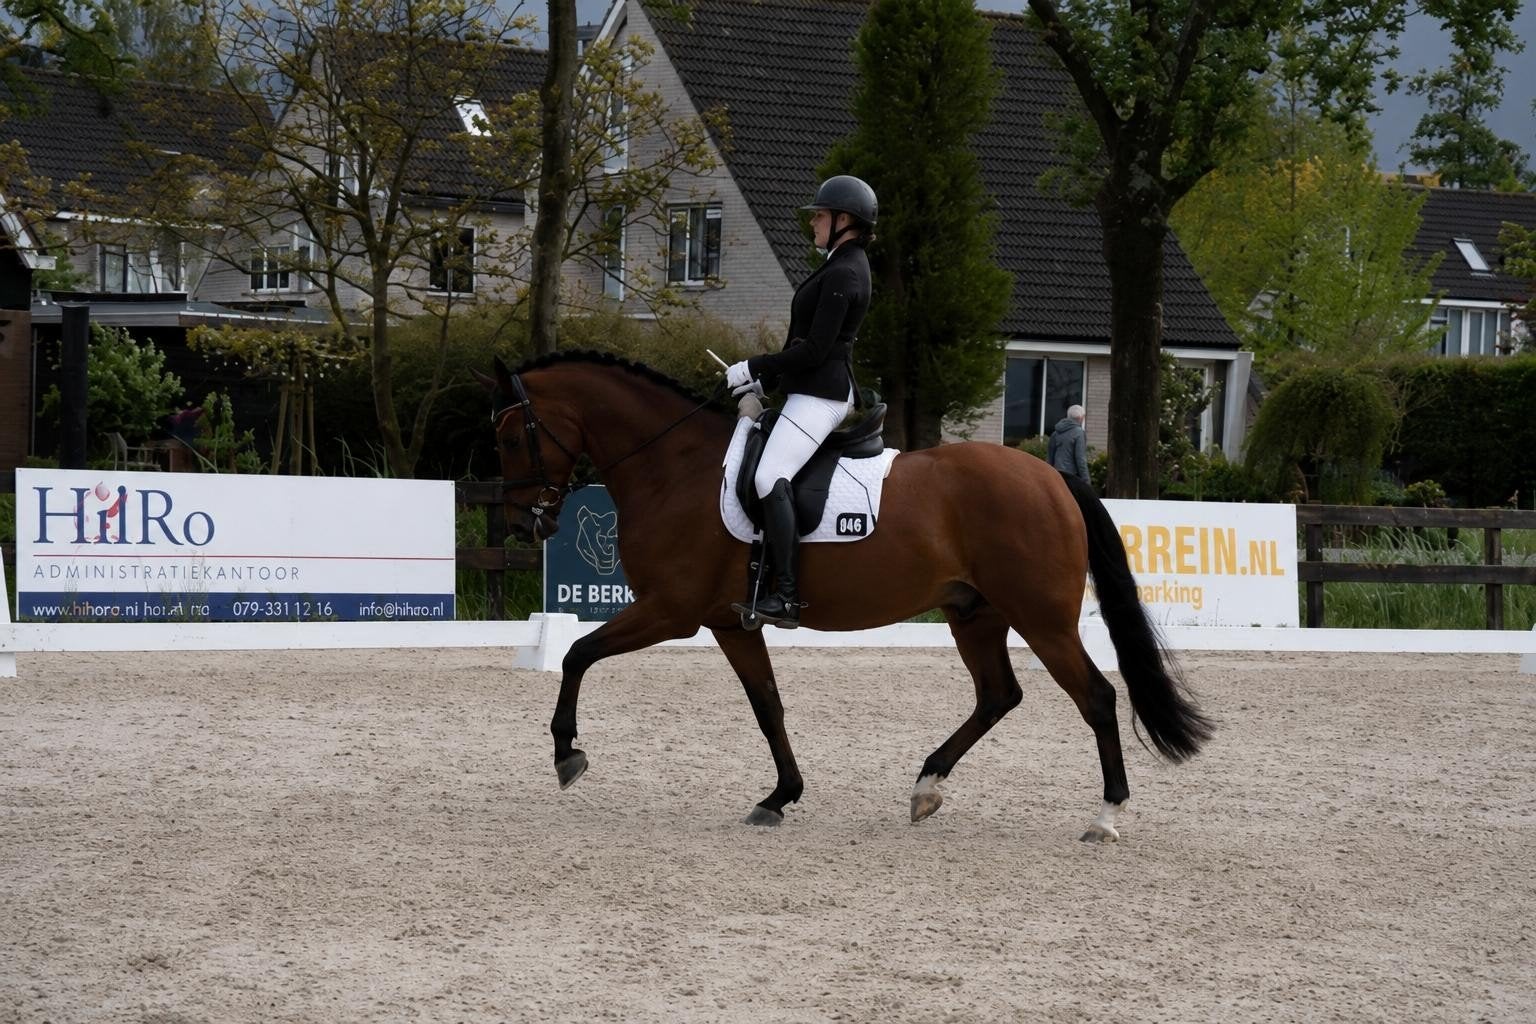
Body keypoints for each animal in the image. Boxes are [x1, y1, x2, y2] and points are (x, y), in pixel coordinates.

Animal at [483, 351, 1212, 842]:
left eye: (513, 435)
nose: (522, 525)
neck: (674, 467)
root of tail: (1052, 478)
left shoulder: (671, 611)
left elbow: (576, 653)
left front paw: (567, 754)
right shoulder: (731, 623)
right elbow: (768, 706)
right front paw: (780, 796)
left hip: (1042, 618)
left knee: (1097, 697)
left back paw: (1106, 815)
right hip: (974, 614)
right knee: (998, 695)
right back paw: (927, 787)